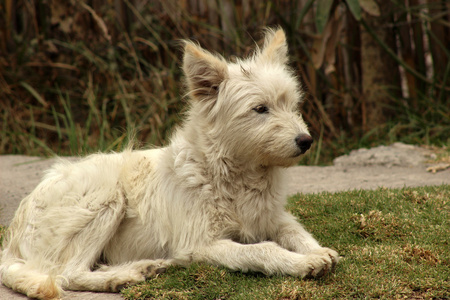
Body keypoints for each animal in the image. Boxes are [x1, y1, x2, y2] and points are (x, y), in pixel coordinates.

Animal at [0, 27, 338, 298]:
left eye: (292, 106)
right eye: (260, 109)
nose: (306, 141)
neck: (230, 174)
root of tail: (11, 241)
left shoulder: (274, 219)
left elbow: (297, 233)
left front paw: (318, 251)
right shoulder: (199, 245)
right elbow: (263, 249)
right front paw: (304, 262)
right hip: (106, 195)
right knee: (66, 273)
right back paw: (126, 275)